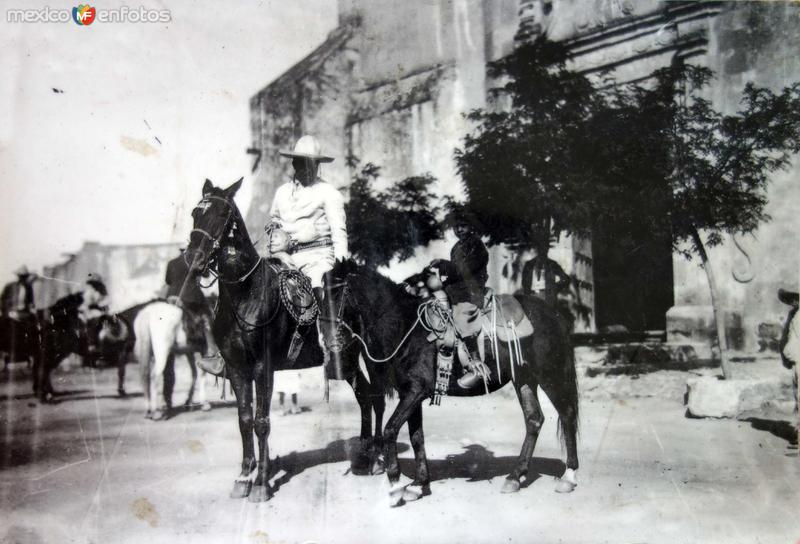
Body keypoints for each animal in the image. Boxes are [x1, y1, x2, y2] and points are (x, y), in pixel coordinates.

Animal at [185, 180, 390, 502]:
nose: (193, 260)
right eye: (196, 213)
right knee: (365, 396)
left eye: (221, 215)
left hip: (368, 356)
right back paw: (363, 456)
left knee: (376, 396)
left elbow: (261, 422)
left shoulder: (262, 368)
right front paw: (244, 476)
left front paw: (261, 483)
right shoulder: (237, 369)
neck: (246, 293)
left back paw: (378, 458)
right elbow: (244, 420)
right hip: (347, 361)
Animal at [320, 260, 580, 506]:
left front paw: (395, 486)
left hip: (550, 375)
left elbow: (390, 430)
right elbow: (416, 437)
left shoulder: (415, 392)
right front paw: (418, 485)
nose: (327, 338)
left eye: (339, 291)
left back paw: (568, 476)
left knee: (566, 415)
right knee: (534, 419)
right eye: (322, 292)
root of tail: (552, 313)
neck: (406, 329)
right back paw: (515, 477)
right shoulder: (411, 394)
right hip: (524, 379)